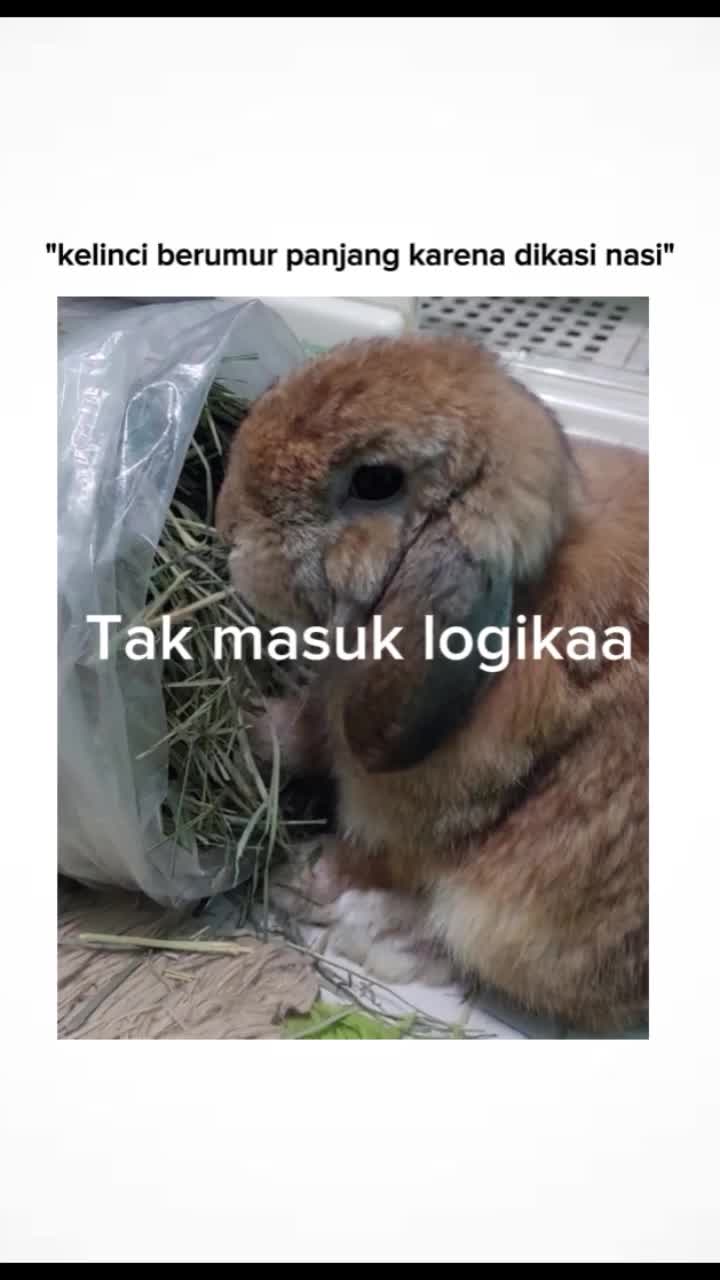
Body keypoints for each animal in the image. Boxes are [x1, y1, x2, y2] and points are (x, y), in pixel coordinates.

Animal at [215, 333, 648, 1035]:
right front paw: (258, 725)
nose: (228, 524)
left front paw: (307, 877)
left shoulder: (418, 814)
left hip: (534, 921)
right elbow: (308, 734)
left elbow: (383, 856)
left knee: (476, 938)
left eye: (374, 482)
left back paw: (375, 926)